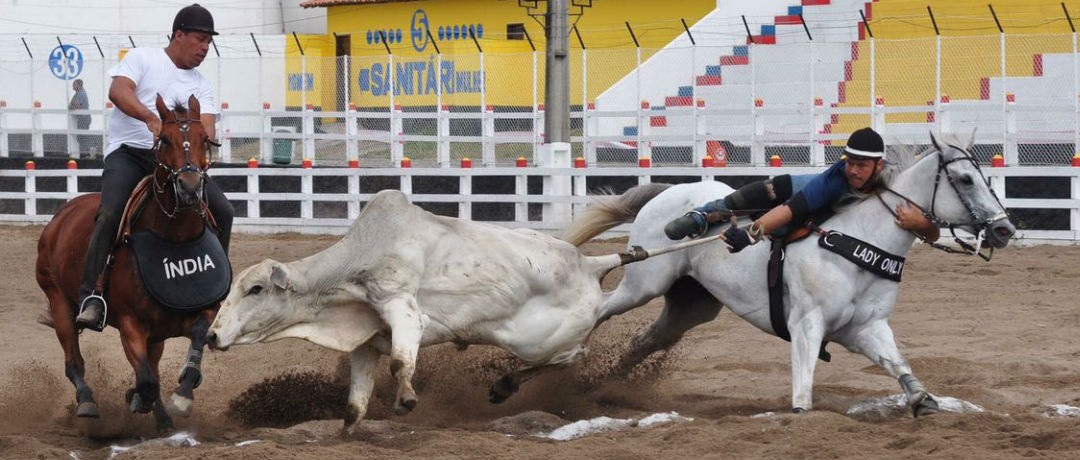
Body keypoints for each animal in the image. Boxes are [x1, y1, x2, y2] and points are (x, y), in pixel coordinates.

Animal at [35, 94, 227, 432]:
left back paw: (161, 420)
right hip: (59, 302)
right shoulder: (130, 326)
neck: (174, 240)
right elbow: (147, 382)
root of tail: (60, 217)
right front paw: (136, 397)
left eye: (204, 138)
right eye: (165, 139)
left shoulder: (197, 313)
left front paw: (182, 394)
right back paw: (87, 401)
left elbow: (194, 342)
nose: (190, 187)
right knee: (74, 361)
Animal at [207, 189, 701, 433]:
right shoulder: (366, 342)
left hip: (534, 339)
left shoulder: (404, 311)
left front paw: (406, 399)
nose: (211, 336)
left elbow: (402, 361)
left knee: (571, 356)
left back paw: (504, 385)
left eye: (255, 289)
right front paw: (349, 431)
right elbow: (355, 402)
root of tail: (592, 262)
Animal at [561, 132, 1016, 417]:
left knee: (647, 340)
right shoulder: (806, 324)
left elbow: (901, 367)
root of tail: (670, 191)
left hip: (693, 305)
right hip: (644, 283)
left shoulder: (867, 329)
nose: (1004, 229)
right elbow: (803, 385)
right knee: (602, 307)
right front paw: (799, 411)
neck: (860, 241)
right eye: (964, 179)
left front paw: (924, 402)